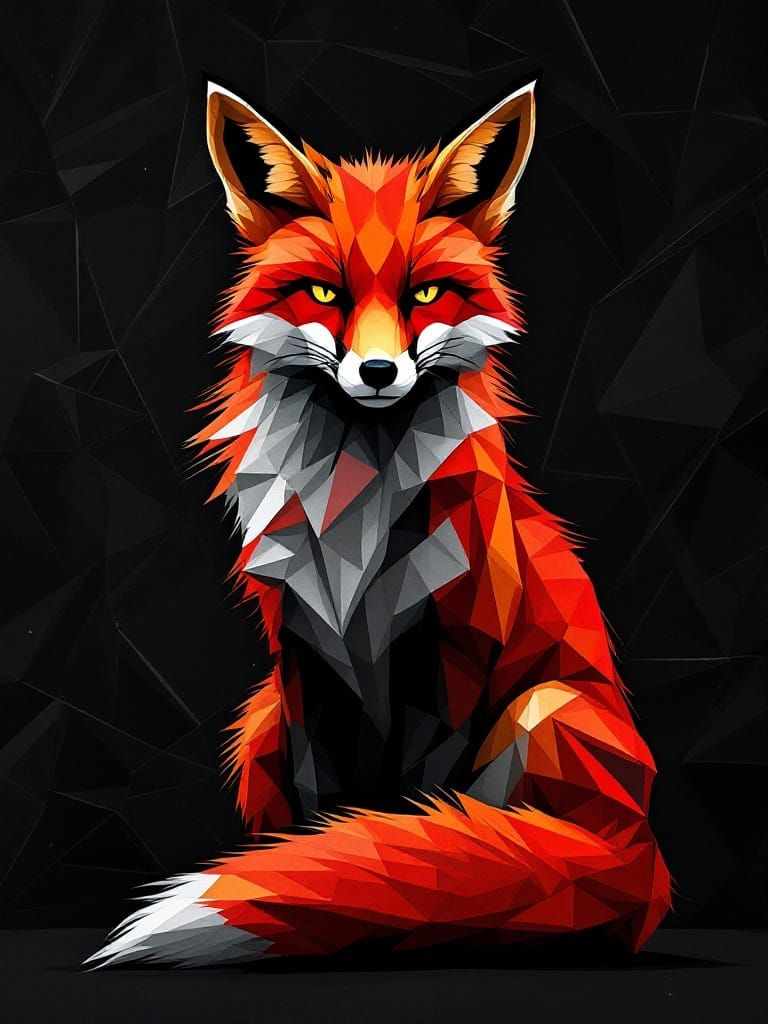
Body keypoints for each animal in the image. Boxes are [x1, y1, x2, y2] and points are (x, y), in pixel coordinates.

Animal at [87, 80, 670, 968]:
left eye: (424, 293)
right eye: (324, 292)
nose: (377, 371)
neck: (353, 520)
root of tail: (641, 856)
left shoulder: (449, 655)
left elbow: (414, 823)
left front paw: (395, 892)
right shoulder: (306, 660)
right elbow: (327, 813)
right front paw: (332, 886)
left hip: (543, 708)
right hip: (257, 724)